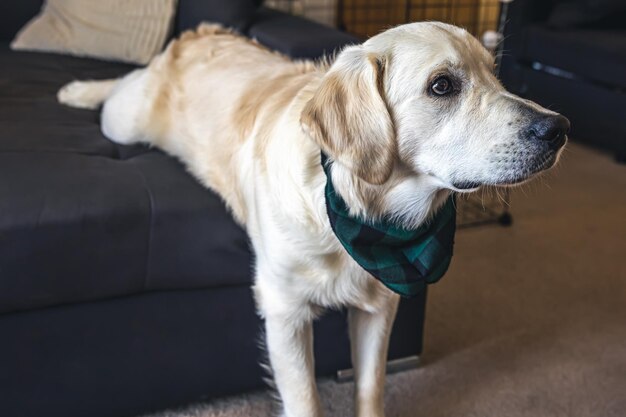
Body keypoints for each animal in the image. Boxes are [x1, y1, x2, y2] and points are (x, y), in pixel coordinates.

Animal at [57, 23, 564, 416]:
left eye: (495, 75)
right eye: (442, 85)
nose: (559, 129)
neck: (360, 214)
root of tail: (203, 31)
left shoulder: (380, 306)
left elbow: (370, 387)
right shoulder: (284, 312)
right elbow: (304, 400)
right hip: (125, 121)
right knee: (122, 83)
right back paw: (77, 89)